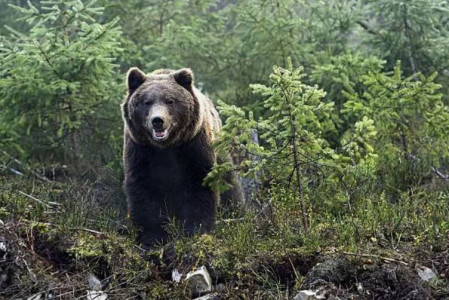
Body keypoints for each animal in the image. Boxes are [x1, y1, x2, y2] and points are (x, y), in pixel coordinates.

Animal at [121, 68, 242, 248]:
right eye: (147, 102)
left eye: (170, 101)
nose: (157, 120)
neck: (166, 147)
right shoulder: (141, 151)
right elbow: (144, 191)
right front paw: (152, 237)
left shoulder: (193, 147)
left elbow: (199, 186)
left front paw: (193, 230)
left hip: (220, 154)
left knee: (230, 188)